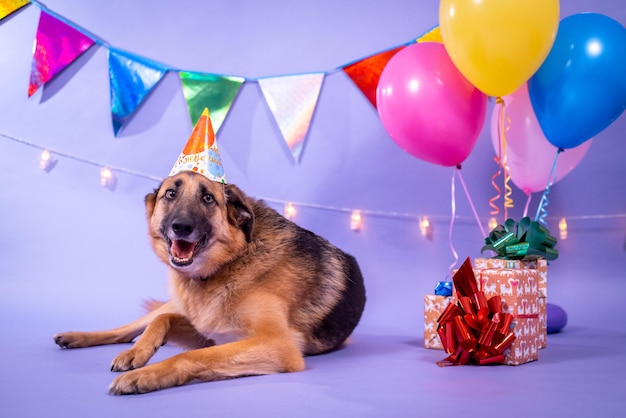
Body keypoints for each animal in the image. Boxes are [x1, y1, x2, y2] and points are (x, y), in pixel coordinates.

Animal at [54, 171, 366, 396]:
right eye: (171, 193)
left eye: (207, 198)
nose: (181, 227)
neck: (229, 262)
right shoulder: (207, 328)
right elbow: (160, 321)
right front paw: (141, 353)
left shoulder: (276, 345)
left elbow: (193, 356)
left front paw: (145, 375)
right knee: (133, 326)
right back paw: (86, 338)